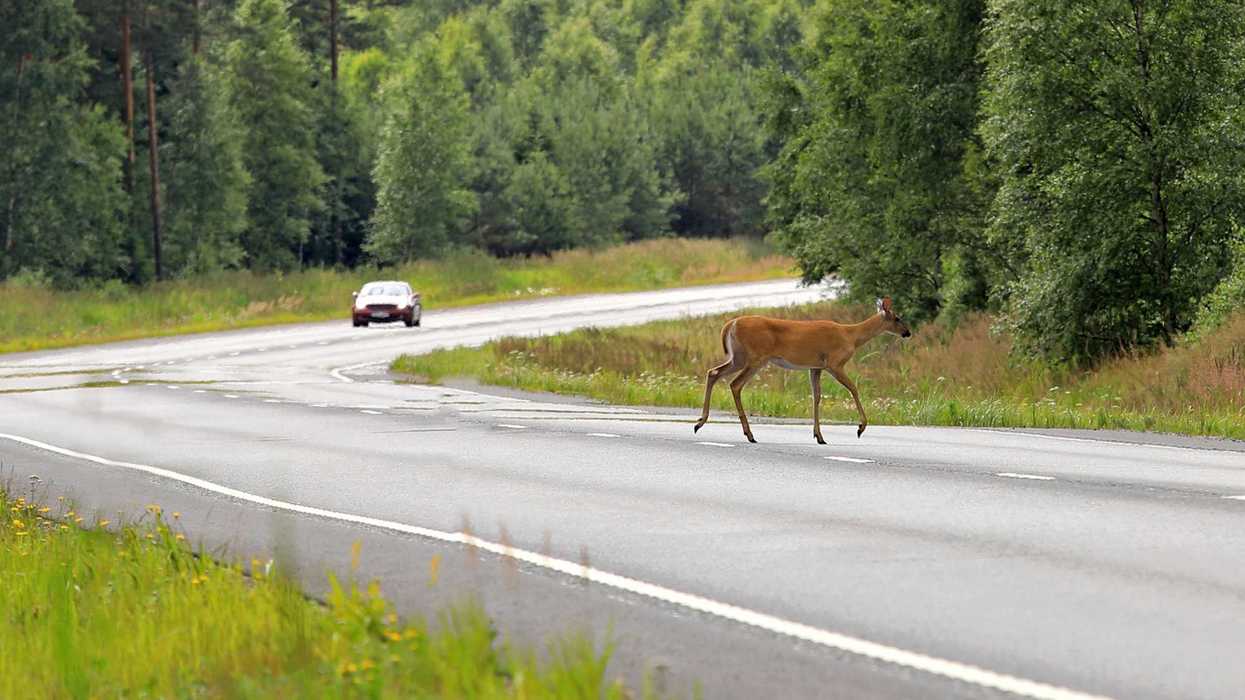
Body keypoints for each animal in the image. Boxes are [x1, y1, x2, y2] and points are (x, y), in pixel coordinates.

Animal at [693, 297, 911, 444]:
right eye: (898, 318)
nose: (908, 332)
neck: (851, 336)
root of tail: (731, 324)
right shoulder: (834, 363)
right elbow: (854, 389)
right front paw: (860, 427)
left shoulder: (816, 367)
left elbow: (817, 396)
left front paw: (819, 436)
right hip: (755, 358)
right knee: (735, 384)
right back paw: (749, 434)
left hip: (738, 357)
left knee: (713, 373)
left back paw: (700, 422)